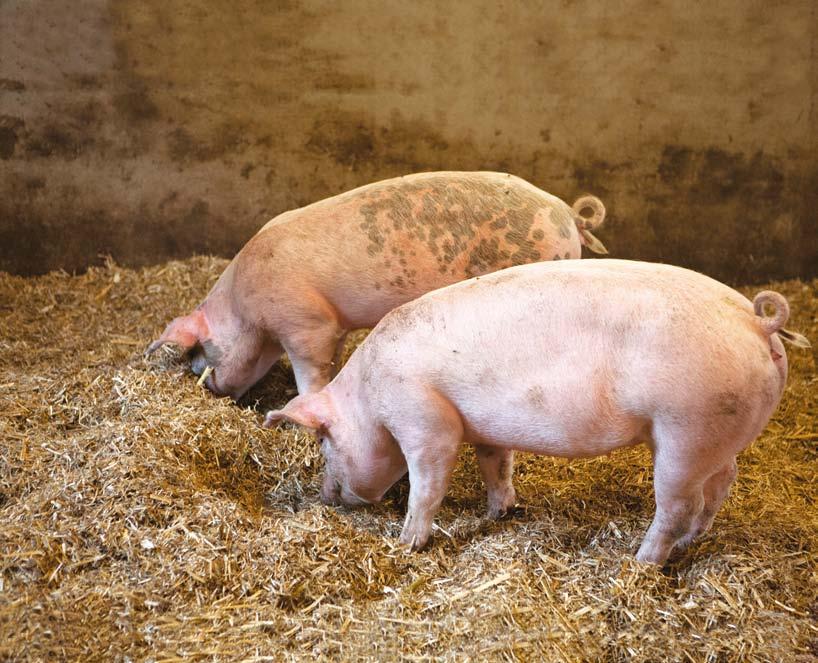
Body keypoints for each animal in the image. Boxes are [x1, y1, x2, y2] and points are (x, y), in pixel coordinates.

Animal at [145, 171, 604, 400]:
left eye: (203, 350)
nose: (206, 384)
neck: (246, 309)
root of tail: (567, 213)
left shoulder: (306, 323)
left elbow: (311, 372)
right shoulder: (329, 327)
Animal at [262, 260, 808, 564]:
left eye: (323, 440)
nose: (327, 497)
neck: (369, 395)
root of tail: (756, 322)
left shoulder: (424, 418)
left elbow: (428, 483)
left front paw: (407, 545)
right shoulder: (483, 428)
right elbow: (496, 464)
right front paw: (499, 512)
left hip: (686, 428)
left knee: (677, 506)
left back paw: (640, 563)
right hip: (717, 434)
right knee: (721, 484)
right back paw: (692, 543)